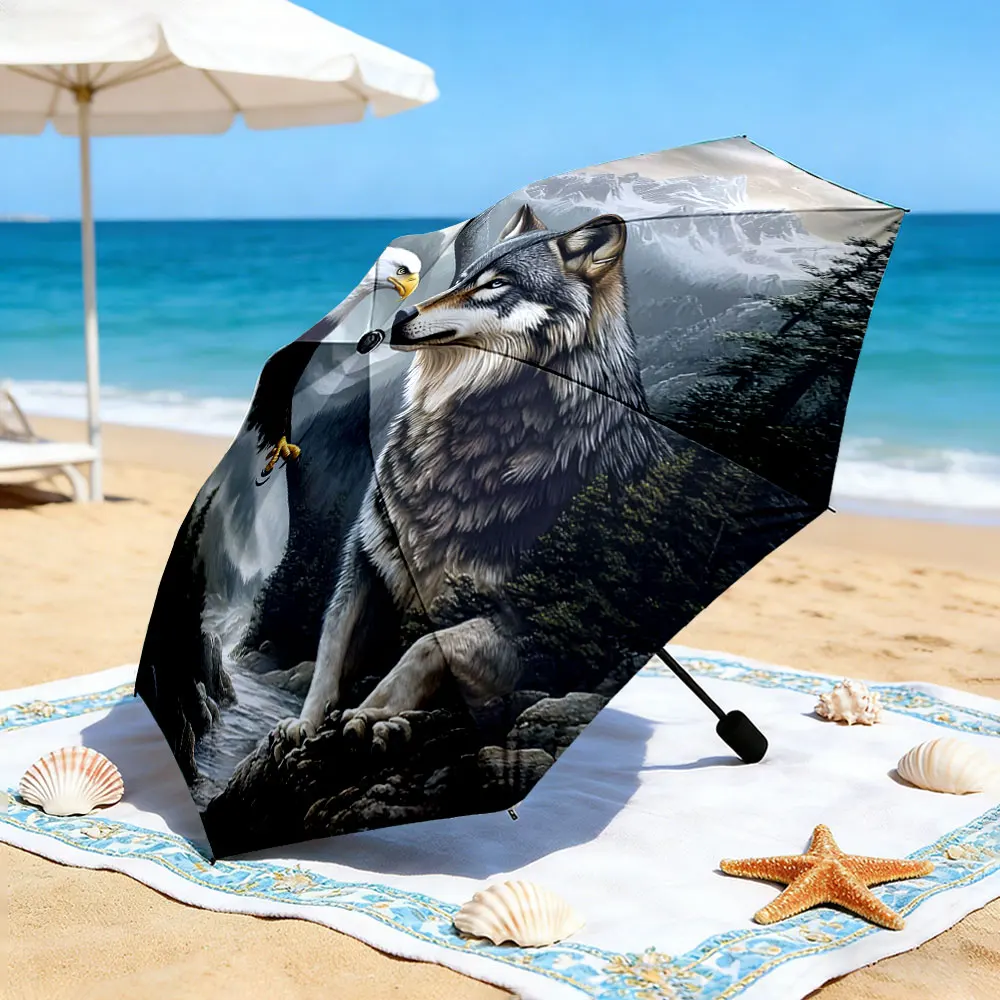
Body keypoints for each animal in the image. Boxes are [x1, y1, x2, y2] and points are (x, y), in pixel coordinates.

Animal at [278, 204, 667, 746]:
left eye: (494, 285)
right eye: (460, 279)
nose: (400, 316)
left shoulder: (543, 632)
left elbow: (428, 646)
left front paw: (371, 711)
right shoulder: (364, 566)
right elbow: (330, 648)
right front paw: (309, 720)